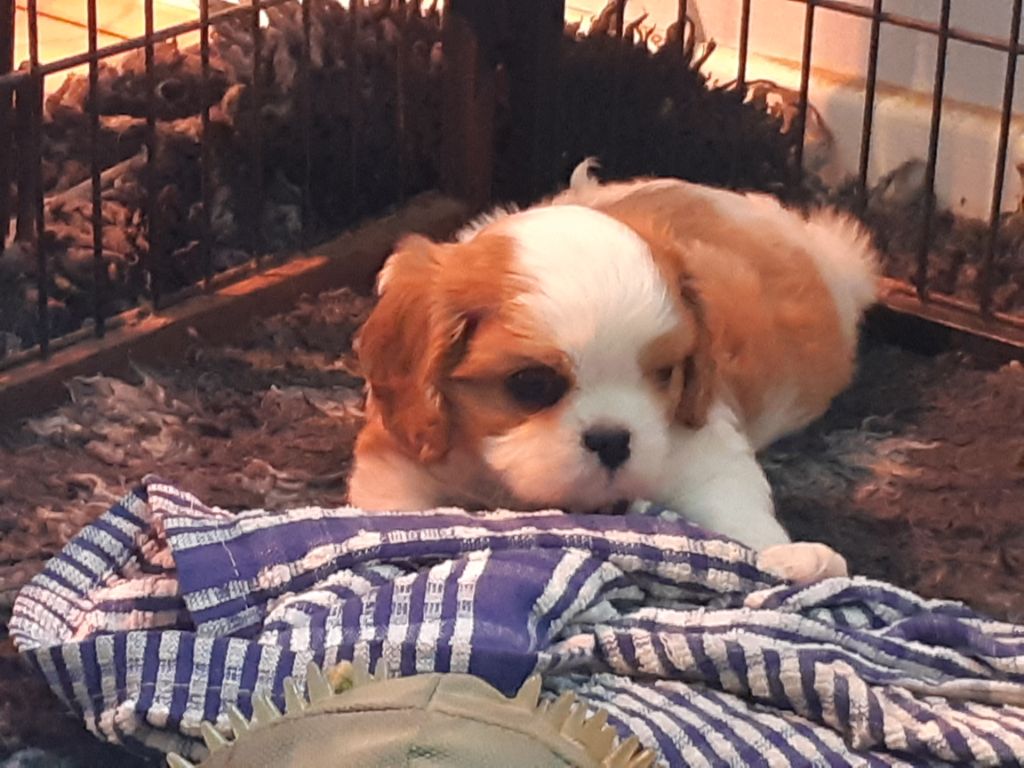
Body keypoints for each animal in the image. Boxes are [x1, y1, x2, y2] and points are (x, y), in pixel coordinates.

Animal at [348, 161, 877, 582]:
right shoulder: (401, 451)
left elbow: (734, 504)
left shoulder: (697, 443)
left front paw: (792, 556)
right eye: (532, 384)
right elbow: (397, 512)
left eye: (664, 373)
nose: (612, 440)